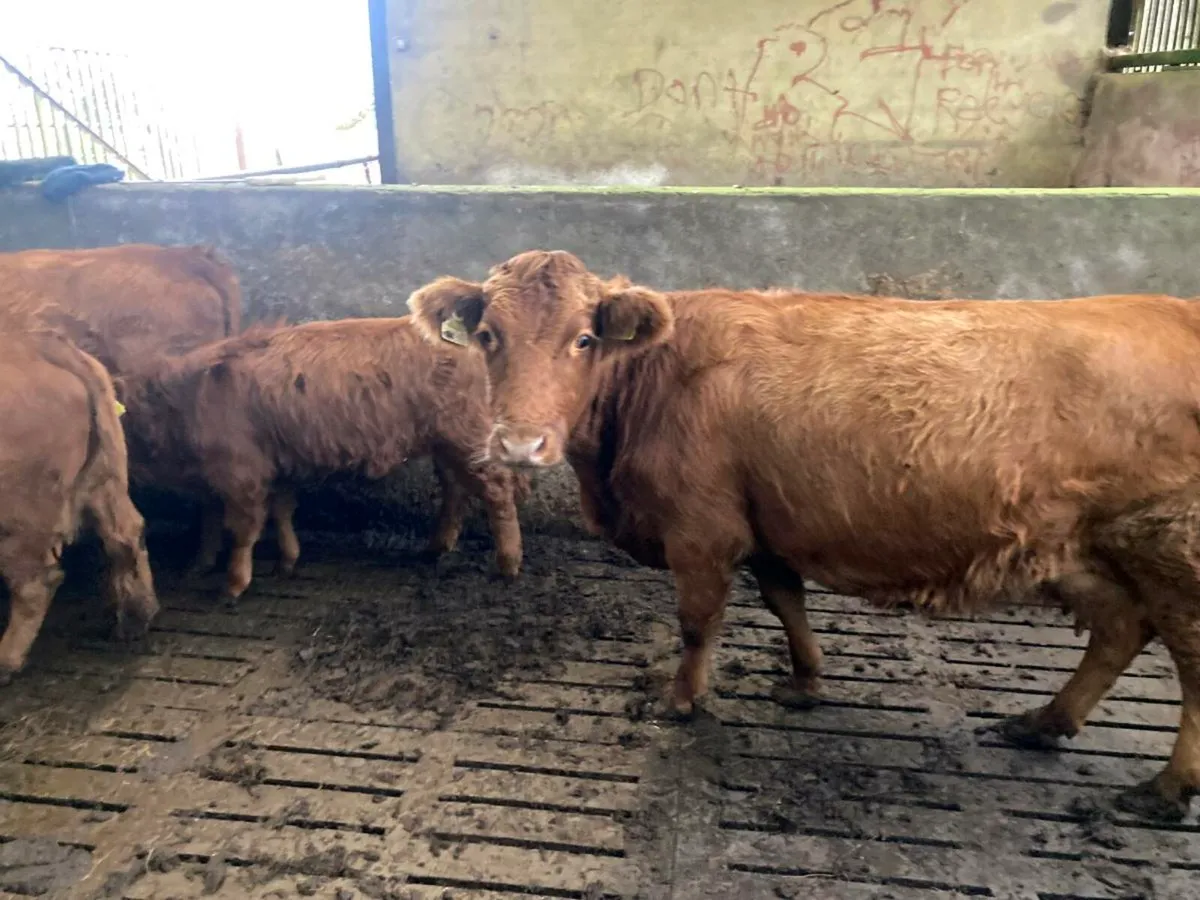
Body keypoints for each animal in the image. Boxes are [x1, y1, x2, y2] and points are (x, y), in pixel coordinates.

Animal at [0, 321, 158, 681]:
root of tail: (41, 344)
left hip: (19, 518)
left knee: (37, 582)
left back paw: (5, 661)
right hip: (105, 478)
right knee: (127, 535)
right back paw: (135, 617)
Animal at [115, 317, 526, 603]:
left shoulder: (242, 475)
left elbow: (242, 529)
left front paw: (232, 584)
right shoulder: (267, 469)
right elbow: (269, 513)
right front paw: (274, 562)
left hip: (467, 435)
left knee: (497, 489)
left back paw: (508, 564)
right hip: (446, 441)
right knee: (455, 488)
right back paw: (437, 547)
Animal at [408, 249, 1200, 821]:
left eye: (582, 339)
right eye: (488, 337)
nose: (519, 444)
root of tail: (1176, 309)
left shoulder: (701, 531)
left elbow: (698, 622)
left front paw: (682, 699)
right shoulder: (765, 526)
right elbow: (786, 601)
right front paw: (806, 682)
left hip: (1169, 549)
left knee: (1186, 659)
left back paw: (1166, 789)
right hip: (1091, 549)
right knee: (1120, 629)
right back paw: (1045, 722)